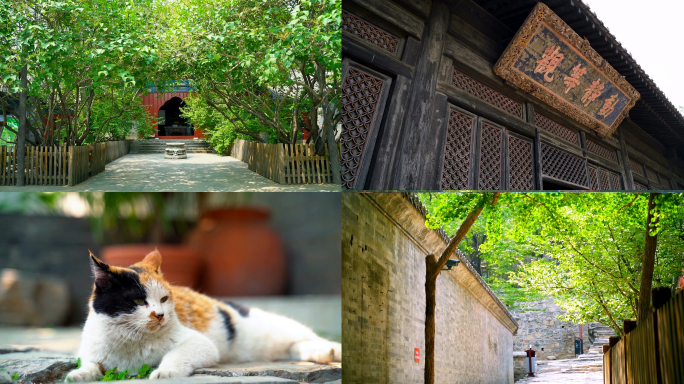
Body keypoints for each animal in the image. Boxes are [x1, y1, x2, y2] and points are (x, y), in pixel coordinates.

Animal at [67, 249, 340, 380]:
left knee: (309, 337)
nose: (160, 315)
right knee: (295, 348)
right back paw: (321, 354)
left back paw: (331, 351)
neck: (131, 341)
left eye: (164, 299)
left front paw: (164, 373)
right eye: (137, 301)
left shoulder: (201, 344)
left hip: (278, 327)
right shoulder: (89, 350)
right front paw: (78, 375)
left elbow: (175, 355)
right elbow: (89, 364)